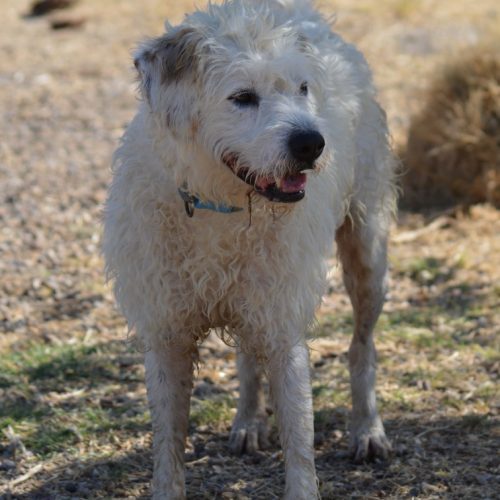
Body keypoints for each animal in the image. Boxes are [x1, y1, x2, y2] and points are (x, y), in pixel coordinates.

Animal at [103, 1, 396, 498]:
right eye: (242, 97)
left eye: (302, 89)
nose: (311, 143)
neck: (219, 205)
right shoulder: (166, 336)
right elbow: (168, 443)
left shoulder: (283, 328)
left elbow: (299, 441)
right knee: (246, 355)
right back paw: (248, 421)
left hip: (367, 253)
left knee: (362, 346)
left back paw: (367, 428)